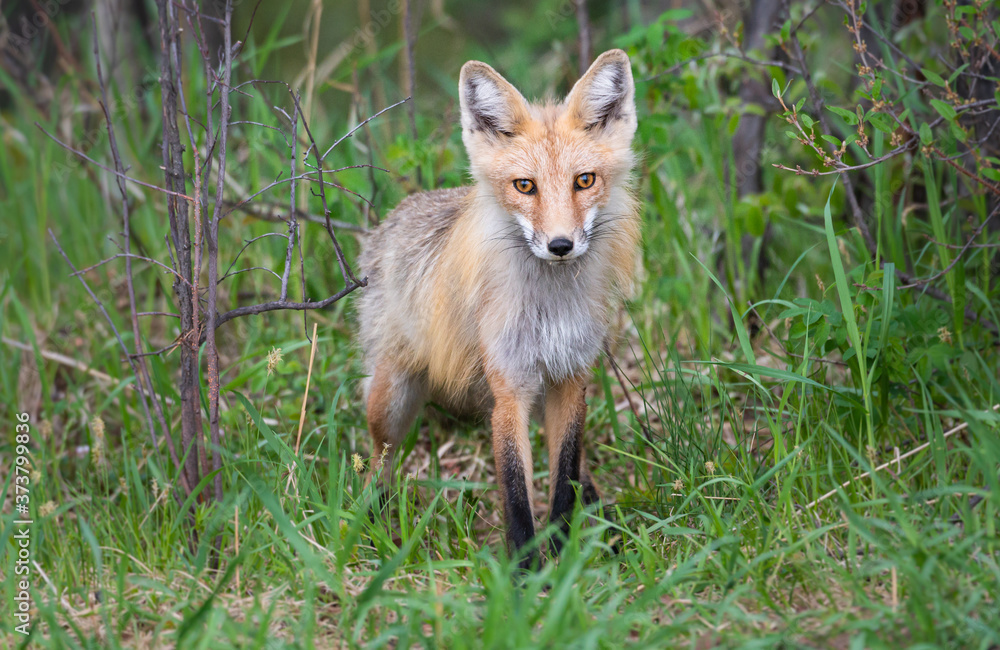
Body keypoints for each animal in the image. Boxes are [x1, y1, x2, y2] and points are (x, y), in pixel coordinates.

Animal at [360, 50, 640, 564]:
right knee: (378, 460)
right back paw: (368, 518)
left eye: (584, 181)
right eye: (525, 186)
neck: (549, 310)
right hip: (391, 400)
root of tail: (396, 213)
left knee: (579, 469)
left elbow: (565, 474)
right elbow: (514, 490)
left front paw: (562, 550)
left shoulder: (571, 379)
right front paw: (527, 569)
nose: (560, 245)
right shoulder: (510, 390)